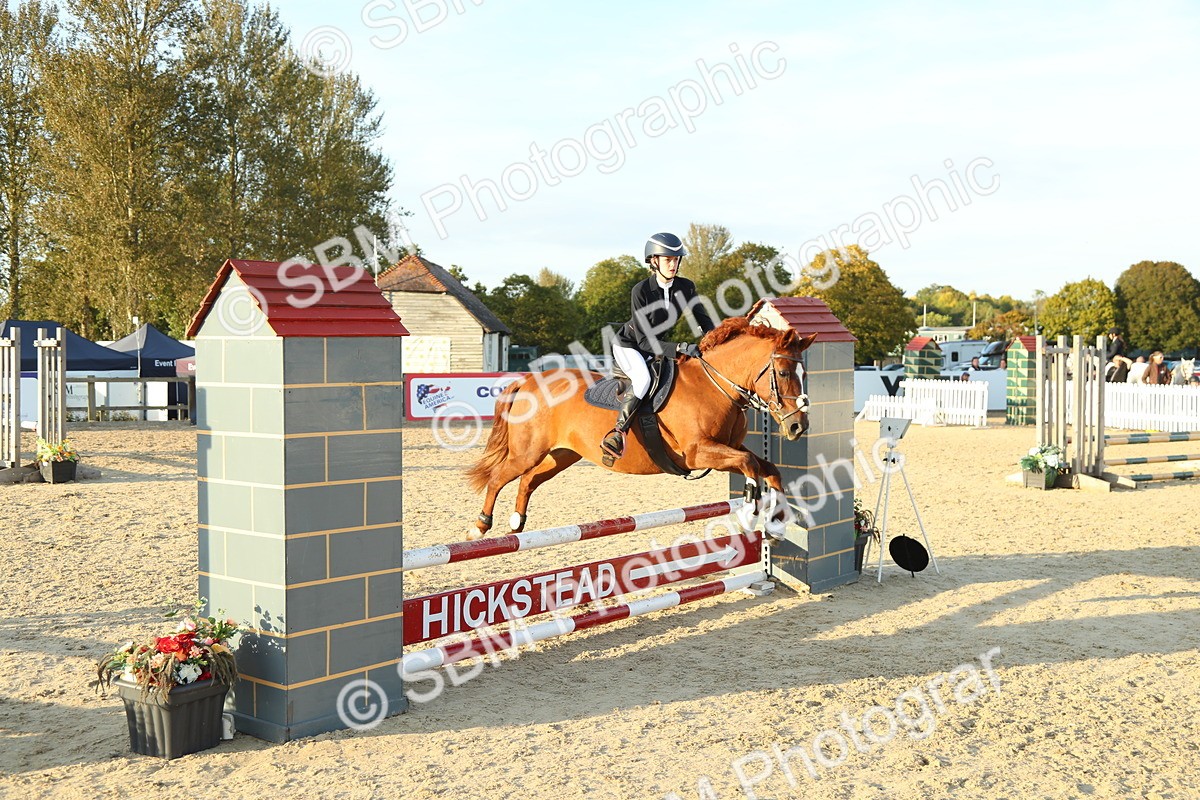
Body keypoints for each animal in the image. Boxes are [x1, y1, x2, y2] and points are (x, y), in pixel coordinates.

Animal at [466, 316, 818, 539]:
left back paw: (516, 522)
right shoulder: (697, 454)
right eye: (784, 373)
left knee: (528, 480)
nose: (798, 426)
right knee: (499, 477)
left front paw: (777, 521)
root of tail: (527, 381)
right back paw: (480, 526)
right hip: (528, 451)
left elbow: (768, 468)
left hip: (562, 455)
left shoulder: (727, 448)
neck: (714, 385)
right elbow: (750, 466)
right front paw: (749, 513)